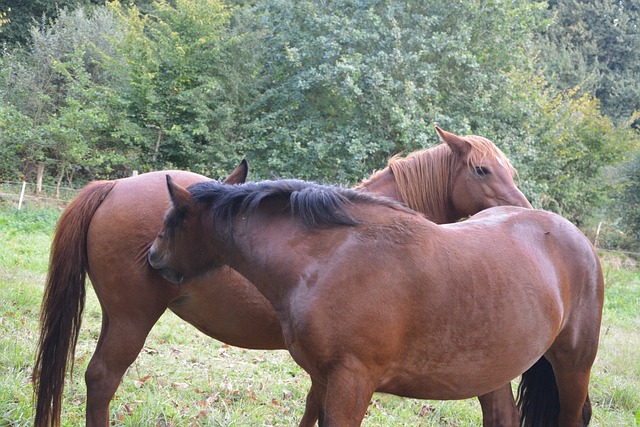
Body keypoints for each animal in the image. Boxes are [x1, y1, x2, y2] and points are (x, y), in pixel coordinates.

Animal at [31, 125, 528, 426]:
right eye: (481, 169)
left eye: (511, 169)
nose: (523, 211)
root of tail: (114, 186)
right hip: (131, 321)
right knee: (102, 379)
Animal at [148, 178, 604, 427]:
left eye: (172, 221)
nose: (152, 257)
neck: (329, 259)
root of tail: (578, 238)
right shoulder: (323, 378)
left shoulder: (351, 381)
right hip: (492, 370)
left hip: (573, 365)